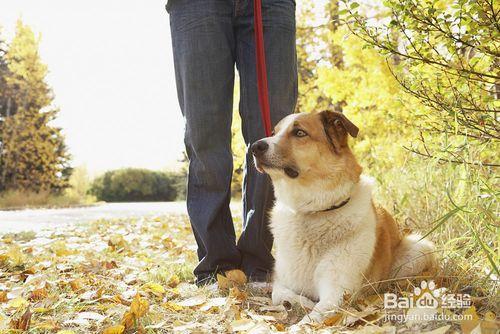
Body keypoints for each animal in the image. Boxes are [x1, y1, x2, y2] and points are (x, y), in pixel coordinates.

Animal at [252, 109, 436, 324]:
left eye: (299, 133)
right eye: (274, 132)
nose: (255, 147)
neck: (313, 213)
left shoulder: (338, 292)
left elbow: (311, 319)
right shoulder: (283, 280)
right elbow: (278, 294)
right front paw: (301, 302)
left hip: (421, 248)